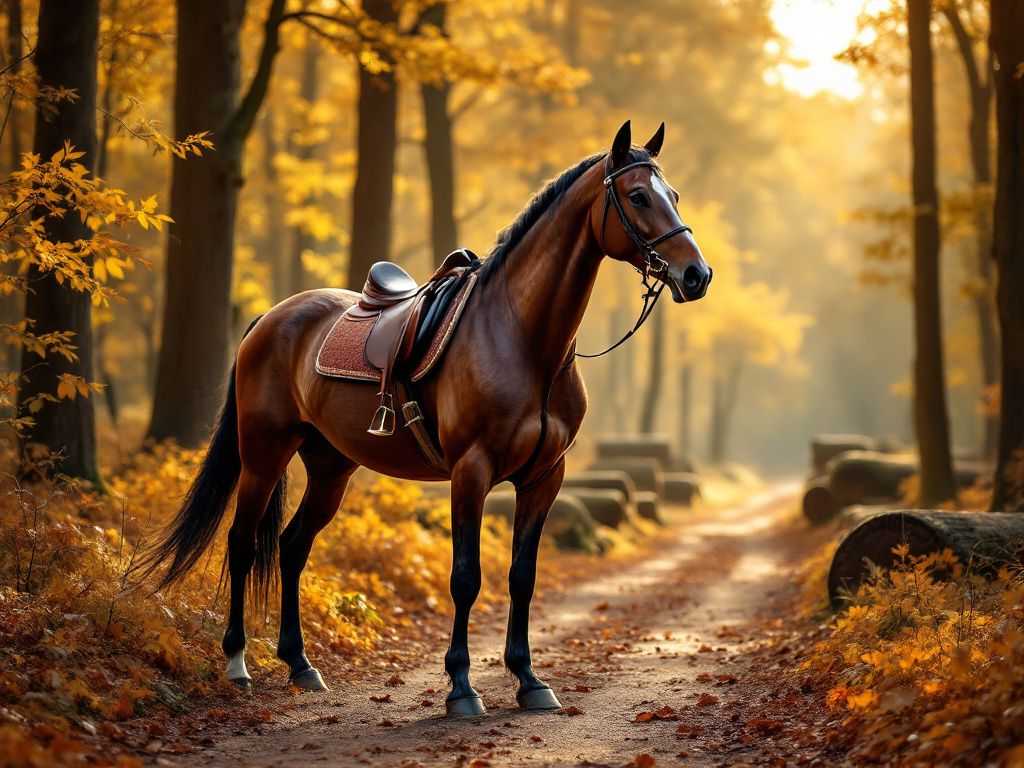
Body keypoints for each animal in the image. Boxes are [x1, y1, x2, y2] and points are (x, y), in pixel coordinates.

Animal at [142, 120, 711, 716]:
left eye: (673, 196)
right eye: (638, 196)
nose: (697, 274)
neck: (523, 338)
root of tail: (269, 318)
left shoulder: (544, 478)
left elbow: (522, 577)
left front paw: (530, 680)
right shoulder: (472, 470)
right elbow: (466, 577)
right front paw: (461, 687)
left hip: (330, 468)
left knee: (294, 545)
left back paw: (301, 665)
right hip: (263, 454)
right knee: (244, 542)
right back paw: (237, 663)